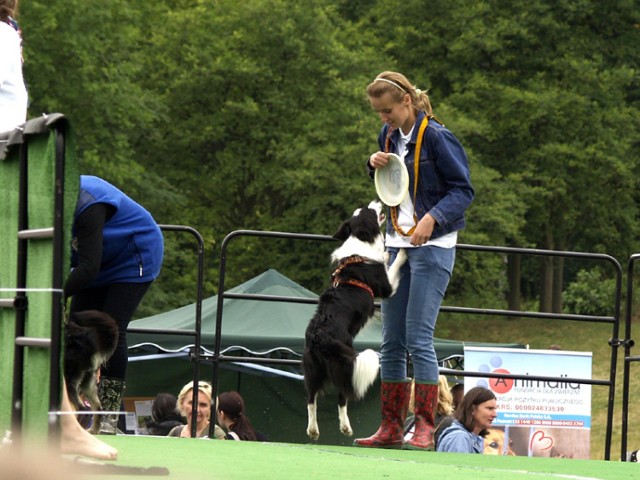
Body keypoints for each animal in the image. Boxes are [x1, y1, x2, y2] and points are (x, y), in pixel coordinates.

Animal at [304, 199, 404, 438]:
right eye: (370, 211)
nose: (376, 201)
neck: (360, 241)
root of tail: (320, 337)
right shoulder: (386, 287)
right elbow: (394, 266)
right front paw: (402, 253)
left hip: (312, 368)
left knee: (311, 398)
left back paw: (313, 430)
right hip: (345, 364)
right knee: (342, 396)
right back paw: (345, 427)